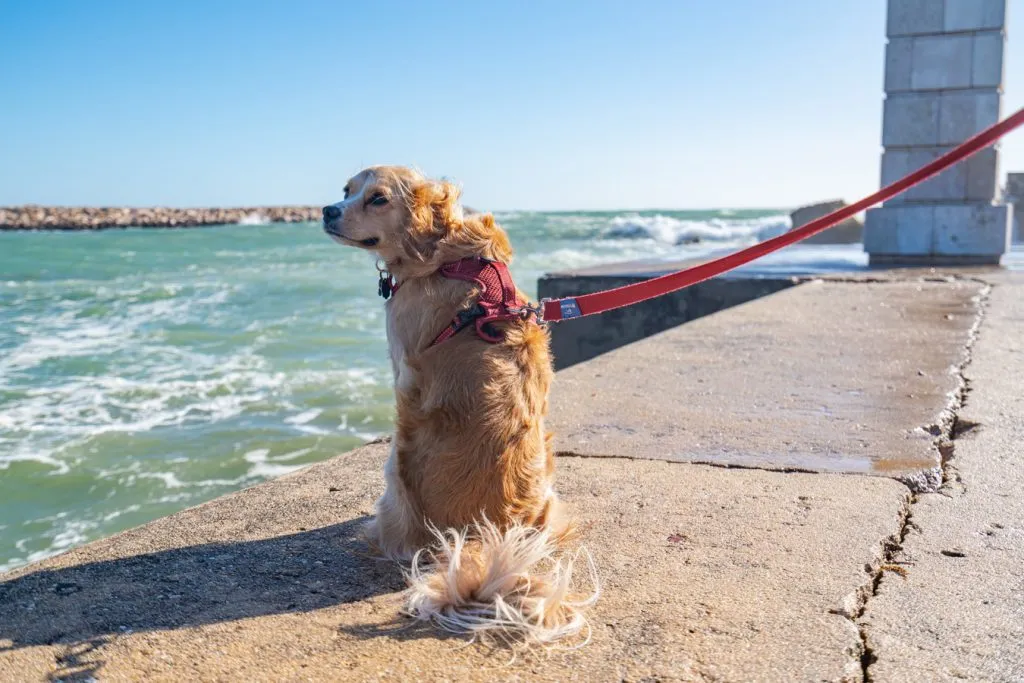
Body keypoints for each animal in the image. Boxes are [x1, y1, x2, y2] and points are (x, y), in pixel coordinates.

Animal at [323, 166, 598, 647]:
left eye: (377, 199)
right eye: (346, 191)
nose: (325, 210)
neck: (443, 251)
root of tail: (483, 536)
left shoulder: (400, 360)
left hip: (396, 471)